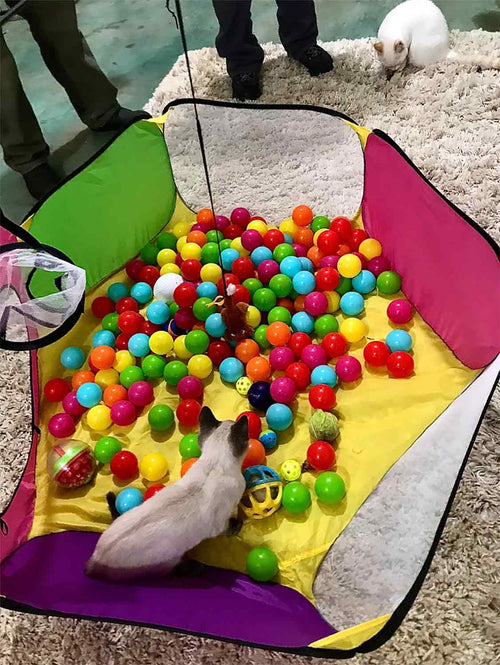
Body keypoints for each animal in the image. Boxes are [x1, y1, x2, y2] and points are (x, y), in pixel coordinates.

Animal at [87, 404, 250, 580]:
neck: (214, 463)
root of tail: (95, 558)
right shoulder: (219, 524)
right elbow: (230, 526)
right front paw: (238, 525)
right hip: (168, 560)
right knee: (176, 570)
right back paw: (196, 567)